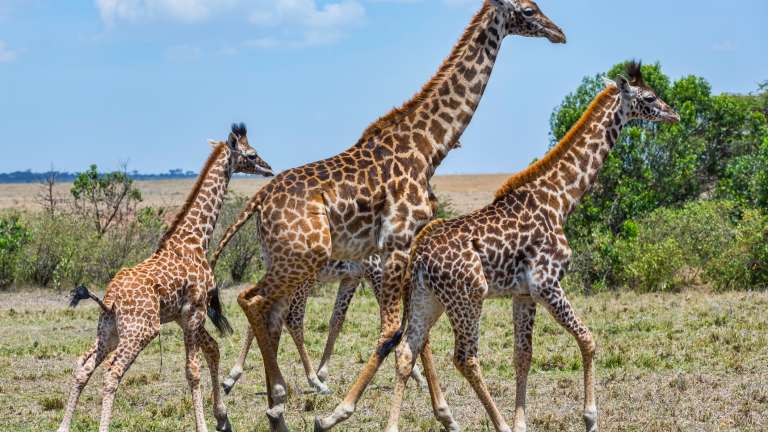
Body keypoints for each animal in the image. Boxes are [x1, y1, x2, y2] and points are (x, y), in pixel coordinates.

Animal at [56, 124, 274, 432]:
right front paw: (204, 425)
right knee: (112, 373)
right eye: (252, 154)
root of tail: (110, 298)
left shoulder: (185, 316)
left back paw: (63, 426)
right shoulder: (194, 312)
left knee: (83, 366)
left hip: (109, 330)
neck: (195, 239)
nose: (269, 168)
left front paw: (223, 418)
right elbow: (192, 371)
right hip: (141, 331)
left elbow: (213, 350)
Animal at [213, 142, 461, 396]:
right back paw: (309, 381)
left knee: (262, 313)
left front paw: (323, 370)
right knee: (292, 319)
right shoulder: (376, 272)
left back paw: (237, 377)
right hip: (300, 278)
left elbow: (337, 320)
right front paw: (417, 375)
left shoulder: (352, 277)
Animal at [384, 62, 680, 432]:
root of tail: (419, 255)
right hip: (468, 296)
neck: (561, 199)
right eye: (650, 97)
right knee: (465, 358)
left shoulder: (523, 293)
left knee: (406, 351)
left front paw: (522, 423)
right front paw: (590, 417)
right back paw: (498, 424)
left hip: (428, 298)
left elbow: (523, 356)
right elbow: (588, 340)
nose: (674, 114)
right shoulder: (547, 284)